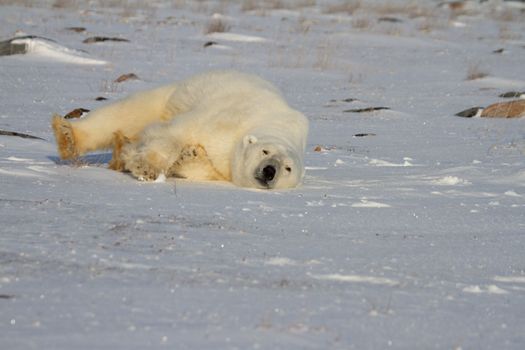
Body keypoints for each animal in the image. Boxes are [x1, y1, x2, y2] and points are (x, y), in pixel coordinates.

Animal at [51, 70, 310, 189]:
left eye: (287, 168)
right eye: (265, 151)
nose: (269, 171)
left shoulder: (223, 169)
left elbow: (202, 167)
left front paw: (189, 157)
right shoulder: (229, 121)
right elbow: (177, 132)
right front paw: (147, 167)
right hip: (175, 95)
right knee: (130, 111)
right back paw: (67, 135)